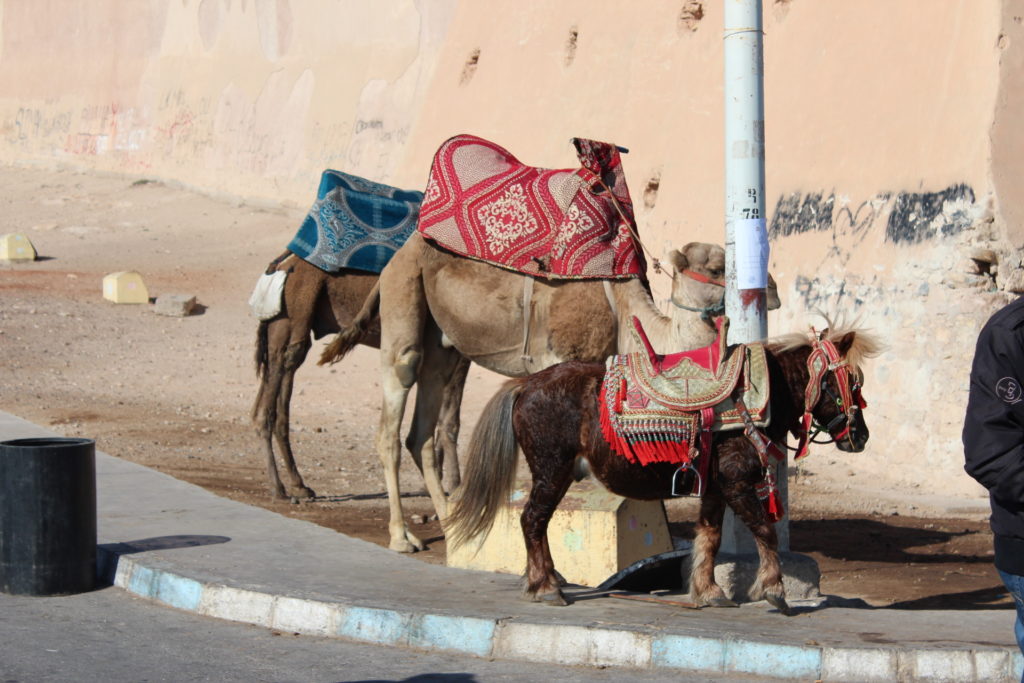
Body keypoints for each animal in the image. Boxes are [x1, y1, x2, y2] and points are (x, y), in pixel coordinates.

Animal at [251, 253, 468, 499]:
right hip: (294, 313)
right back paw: (278, 487)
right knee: (271, 397)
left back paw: (299, 485)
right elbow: (450, 420)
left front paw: (434, 483)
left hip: (286, 325)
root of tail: (281, 264)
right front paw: (455, 485)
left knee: (275, 384)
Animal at [319, 232, 782, 552]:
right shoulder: (562, 356)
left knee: (420, 432)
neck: (630, 316)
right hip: (404, 307)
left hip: (443, 346)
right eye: (719, 267)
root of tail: (398, 255)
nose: (771, 290)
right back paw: (403, 537)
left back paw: (453, 522)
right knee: (392, 419)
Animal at [444, 323, 884, 618]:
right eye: (850, 382)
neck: (761, 395)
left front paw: (708, 592)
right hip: (552, 471)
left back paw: (545, 580)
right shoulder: (738, 482)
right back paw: (546, 586)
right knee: (533, 520)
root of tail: (525, 385)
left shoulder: (715, 488)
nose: (861, 436)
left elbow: (709, 537)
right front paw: (774, 589)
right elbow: (765, 530)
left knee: (536, 522)